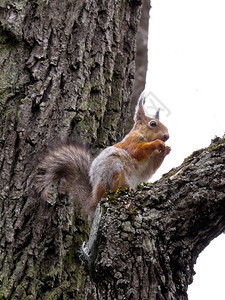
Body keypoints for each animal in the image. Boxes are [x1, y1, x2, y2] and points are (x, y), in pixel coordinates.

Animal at [35, 92, 171, 219]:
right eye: (153, 124)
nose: (167, 136)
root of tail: (94, 199)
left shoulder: (149, 164)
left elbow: (152, 167)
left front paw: (166, 150)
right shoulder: (131, 144)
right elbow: (137, 152)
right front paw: (157, 143)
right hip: (112, 168)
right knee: (108, 191)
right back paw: (115, 192)